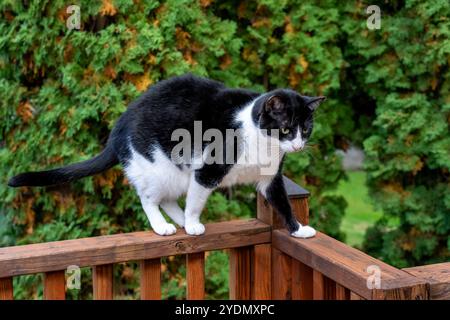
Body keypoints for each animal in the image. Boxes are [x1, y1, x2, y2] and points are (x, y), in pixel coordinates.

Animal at [8, 73, 326, 238]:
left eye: (305, 129)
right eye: (285, 128)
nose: (298, 146)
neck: (261, 141)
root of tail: (116, 131)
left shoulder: (271, 178)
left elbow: (283, 203)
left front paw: (298, 229)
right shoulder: (207, 170)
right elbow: (196, 200)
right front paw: (194, 223)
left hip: (174, 173)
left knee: (168, 198)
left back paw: (178, 220)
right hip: (155, 166)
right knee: (149, 199)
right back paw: (164, 226)